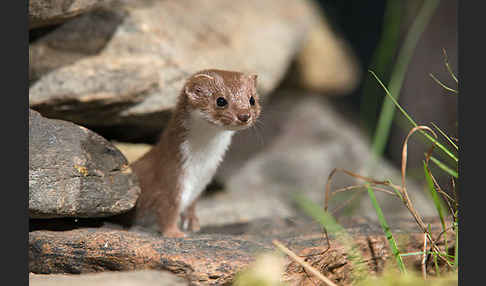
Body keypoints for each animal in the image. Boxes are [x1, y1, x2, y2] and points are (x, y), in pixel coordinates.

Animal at [128, 68, 258, 237]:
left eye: (252, 99)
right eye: (221, 100)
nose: (244, 115)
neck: (199, 168)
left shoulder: (198, 188)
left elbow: (190, 206)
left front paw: (192, 224)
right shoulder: (170, 179)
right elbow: (167, 210)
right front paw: (174, 233)